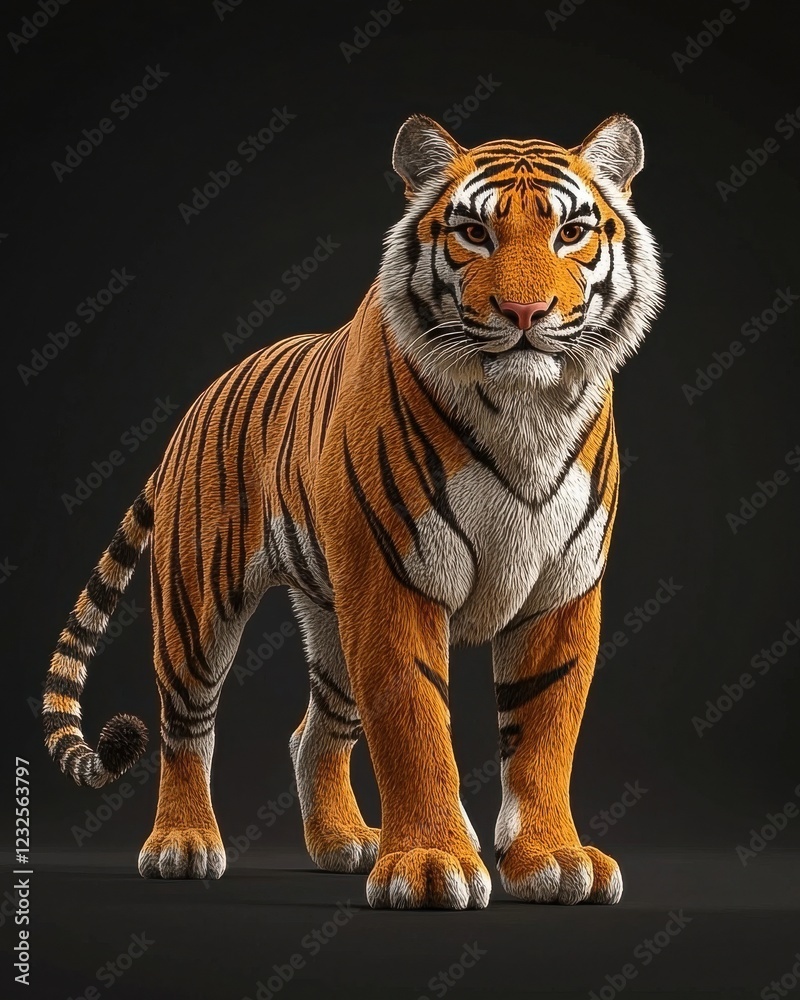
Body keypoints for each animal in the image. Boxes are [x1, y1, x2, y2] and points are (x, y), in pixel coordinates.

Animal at [42, 112, 664, 910]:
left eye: (572, 232)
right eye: (475, 233)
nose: (525, 313)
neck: (525, 411)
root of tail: (194, 407)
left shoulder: (561, 590)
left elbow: (543, 736)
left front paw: (552, 859)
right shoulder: (394, 580)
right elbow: (414, 726)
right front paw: (431, 863)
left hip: (331, 613)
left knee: (314, 733)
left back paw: (343, 841)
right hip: (198, 601)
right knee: (186, 727)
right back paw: (182, 845)